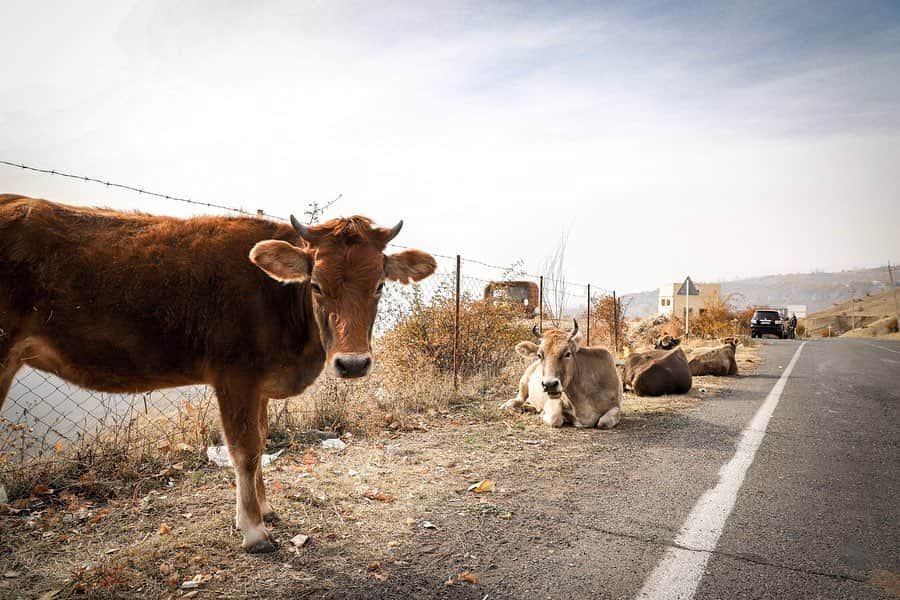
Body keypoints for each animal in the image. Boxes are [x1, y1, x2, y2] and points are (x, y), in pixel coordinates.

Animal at [0, 195, 436, 552]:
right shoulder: (235, 376)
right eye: (315, 285)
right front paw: (254, 530)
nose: (353, 363)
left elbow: (261, 440)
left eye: (379, 285)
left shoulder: (259, 384)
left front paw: (265, 508)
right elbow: (245, 450)